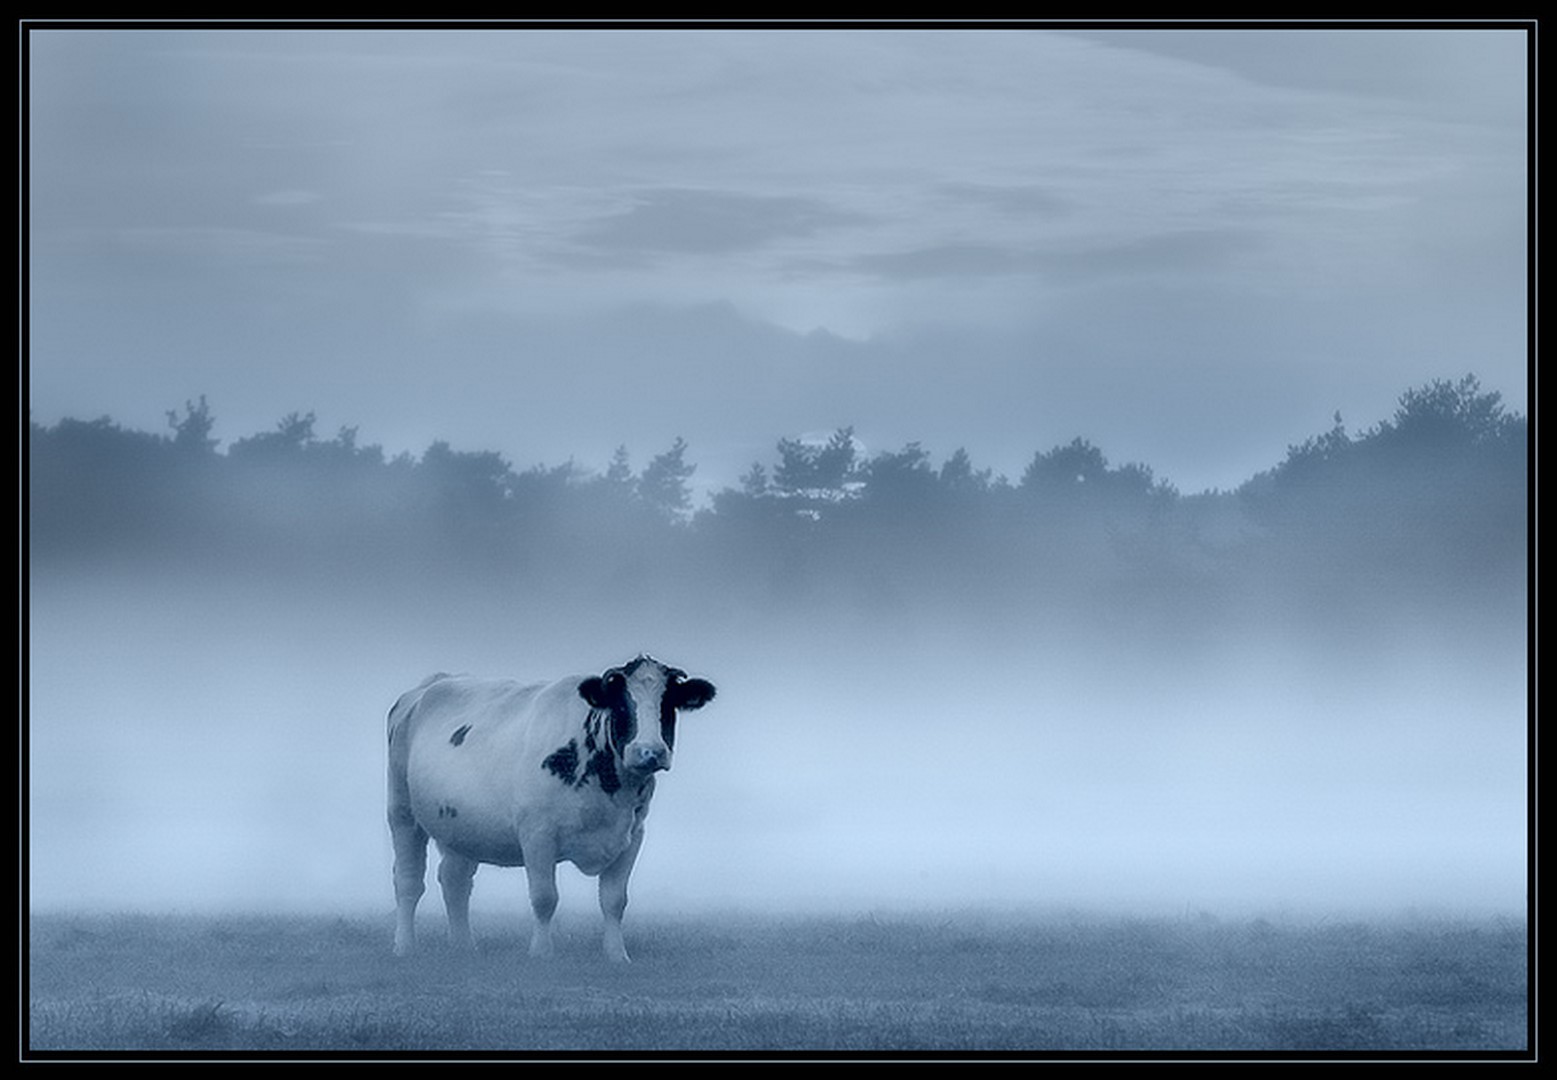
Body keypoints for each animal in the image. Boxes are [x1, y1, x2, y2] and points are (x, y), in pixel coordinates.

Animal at [386, 650, 713, 964]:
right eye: (621, 705)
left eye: (668, 705)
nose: (650, 752)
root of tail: (435, 681)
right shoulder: (537, 833)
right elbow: (545, 898)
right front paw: (541, 953)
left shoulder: (632, 835)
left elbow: (614, 900)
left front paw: (617, 954)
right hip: (402, 811)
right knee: (408, 881)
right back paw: (404, 946)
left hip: (461, 826)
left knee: (455, 880)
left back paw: (464, 946)